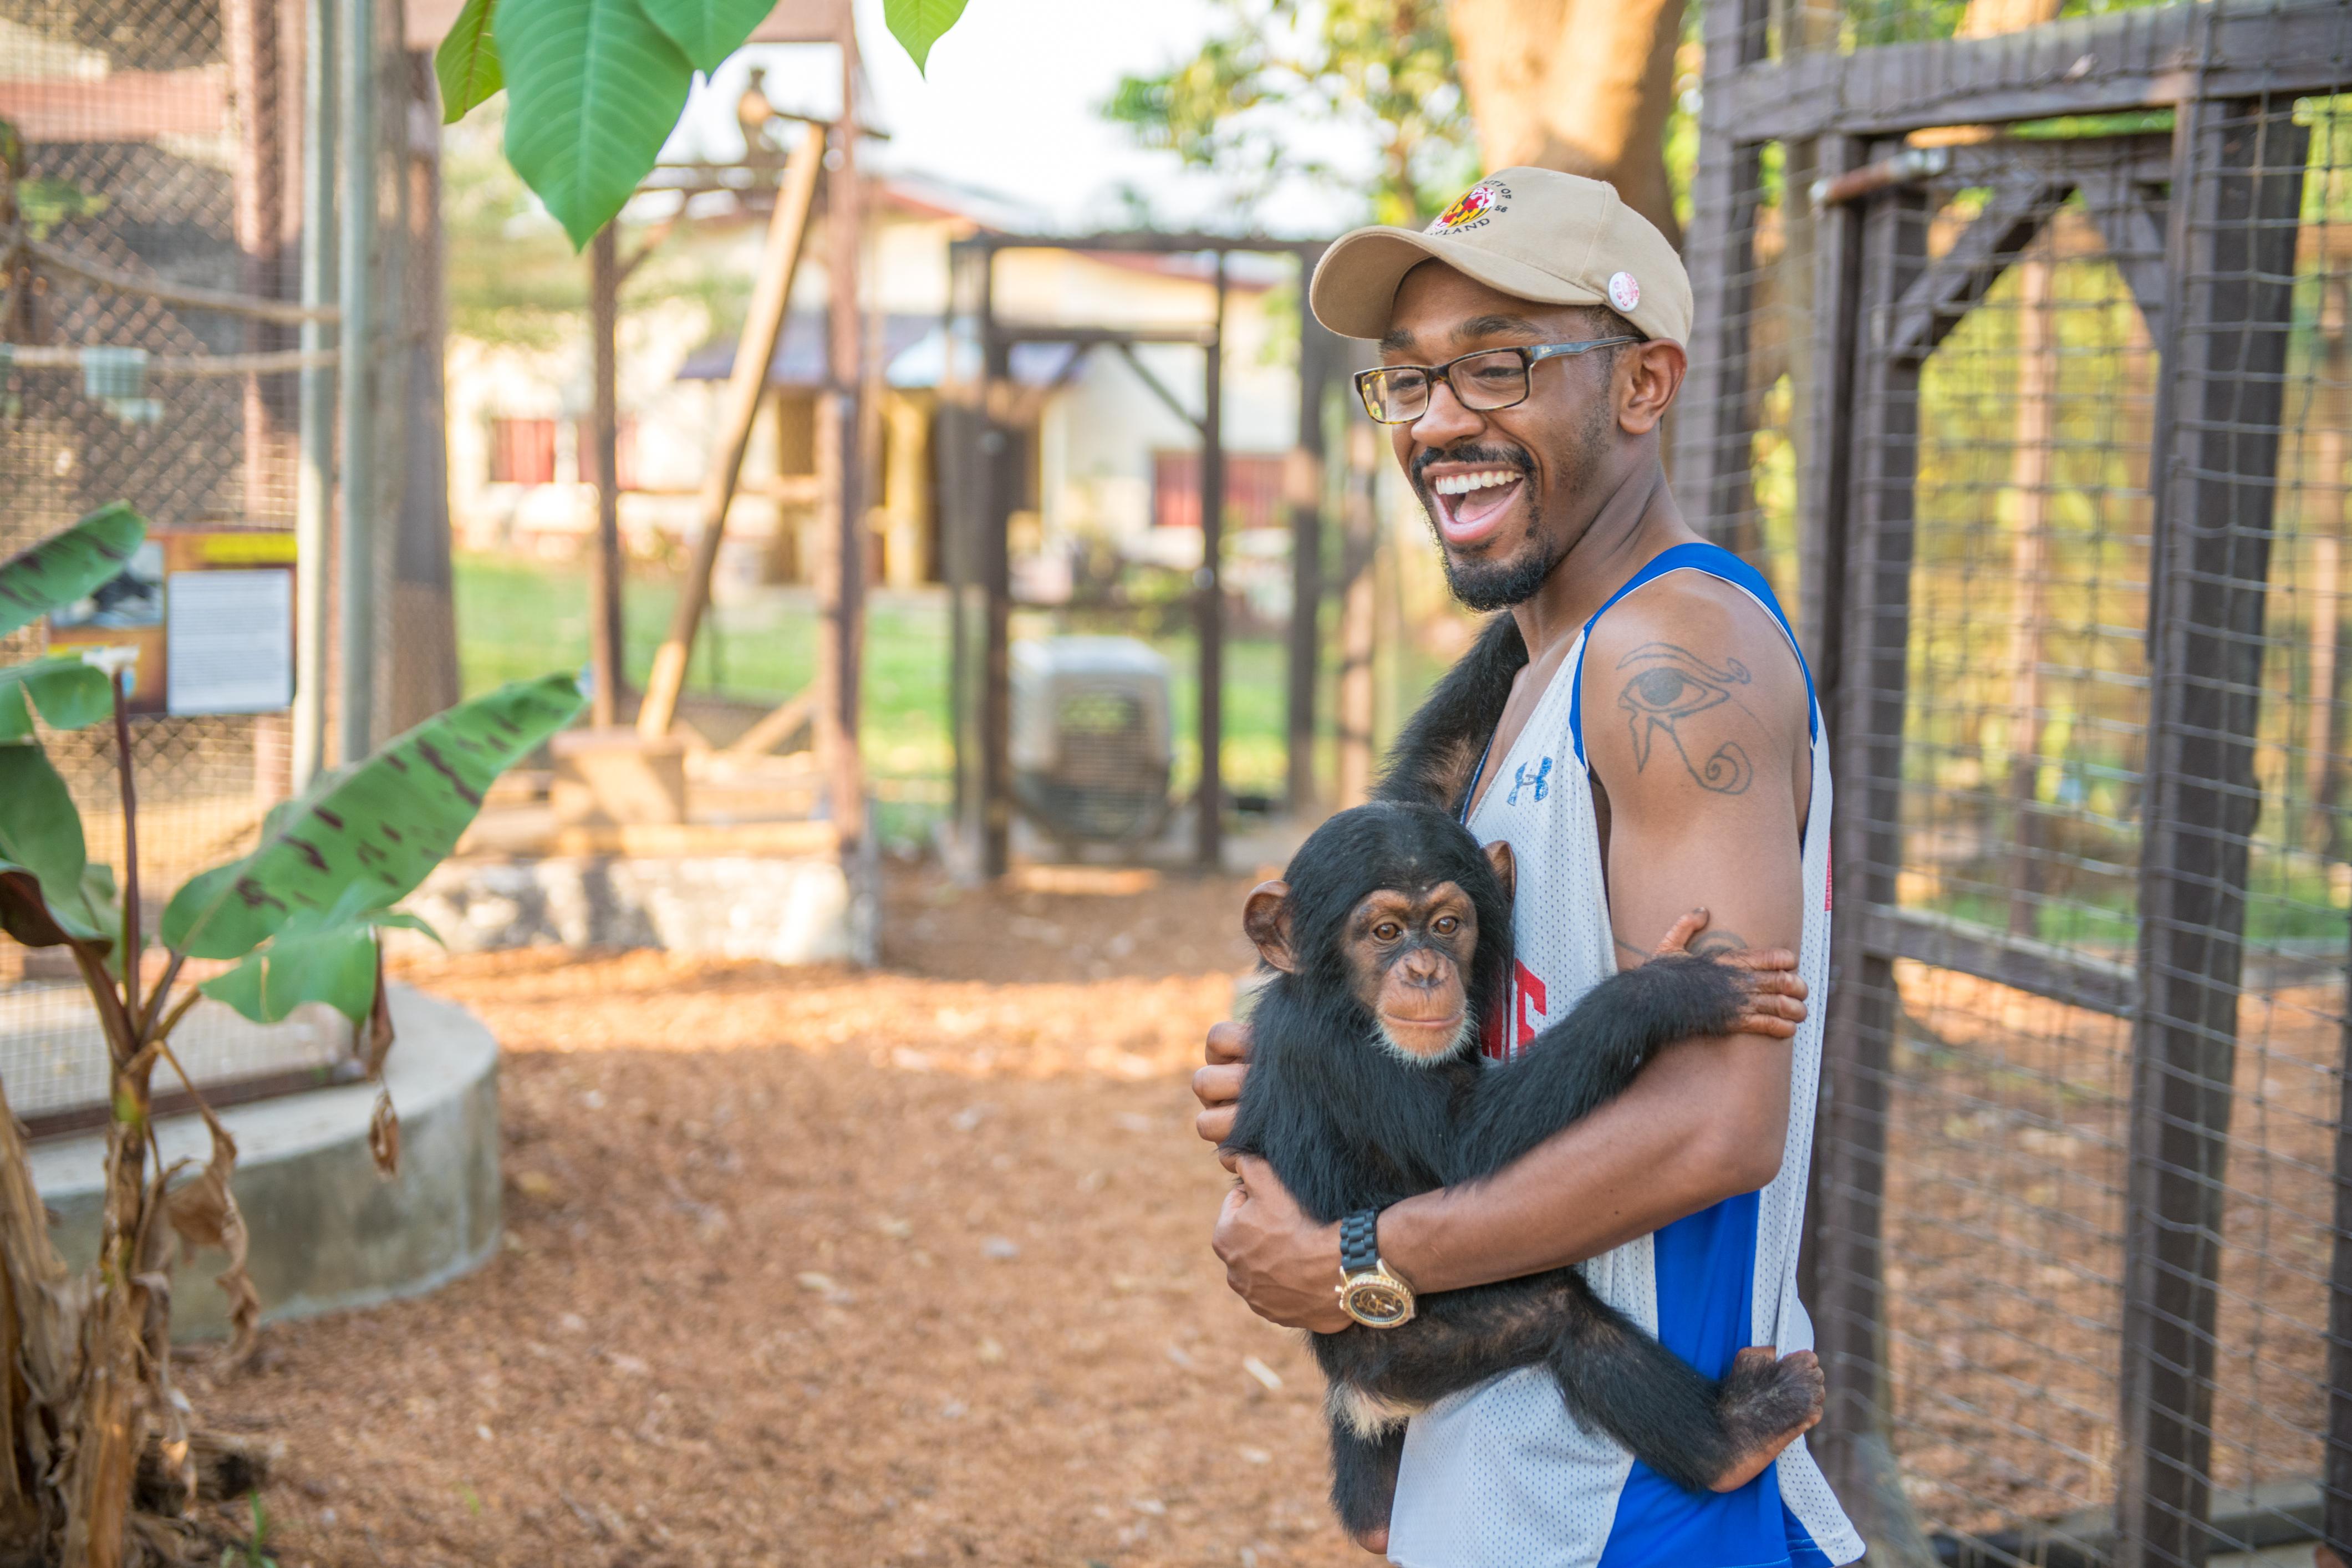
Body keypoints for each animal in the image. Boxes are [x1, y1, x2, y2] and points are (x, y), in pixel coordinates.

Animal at [1223, 804, 1825, 1542]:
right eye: (1385, 931)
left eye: (1446, 924)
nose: (1424, 969)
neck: (1333, 999)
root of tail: (1357, 1390)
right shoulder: (1348, 1059)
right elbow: (1472, 1140)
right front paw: (1673, 986)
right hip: (1410, 1350)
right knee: (1562, 1316)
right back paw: (1736, 1434)